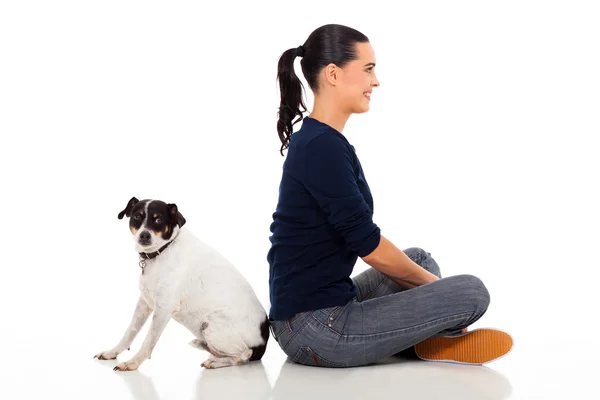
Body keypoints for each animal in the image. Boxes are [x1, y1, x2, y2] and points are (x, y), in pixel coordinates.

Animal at [94, 196, 270, 368]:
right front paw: (112, 352)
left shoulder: (163, 308)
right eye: (137, 216)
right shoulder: (144, 303)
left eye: (158, 219)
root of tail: (262, 346)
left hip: (210, 325)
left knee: (242, 356)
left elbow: (149, 341)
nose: (144, 235)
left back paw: (216, 361)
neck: (163, 250)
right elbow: (130, 332)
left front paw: (133, 363)